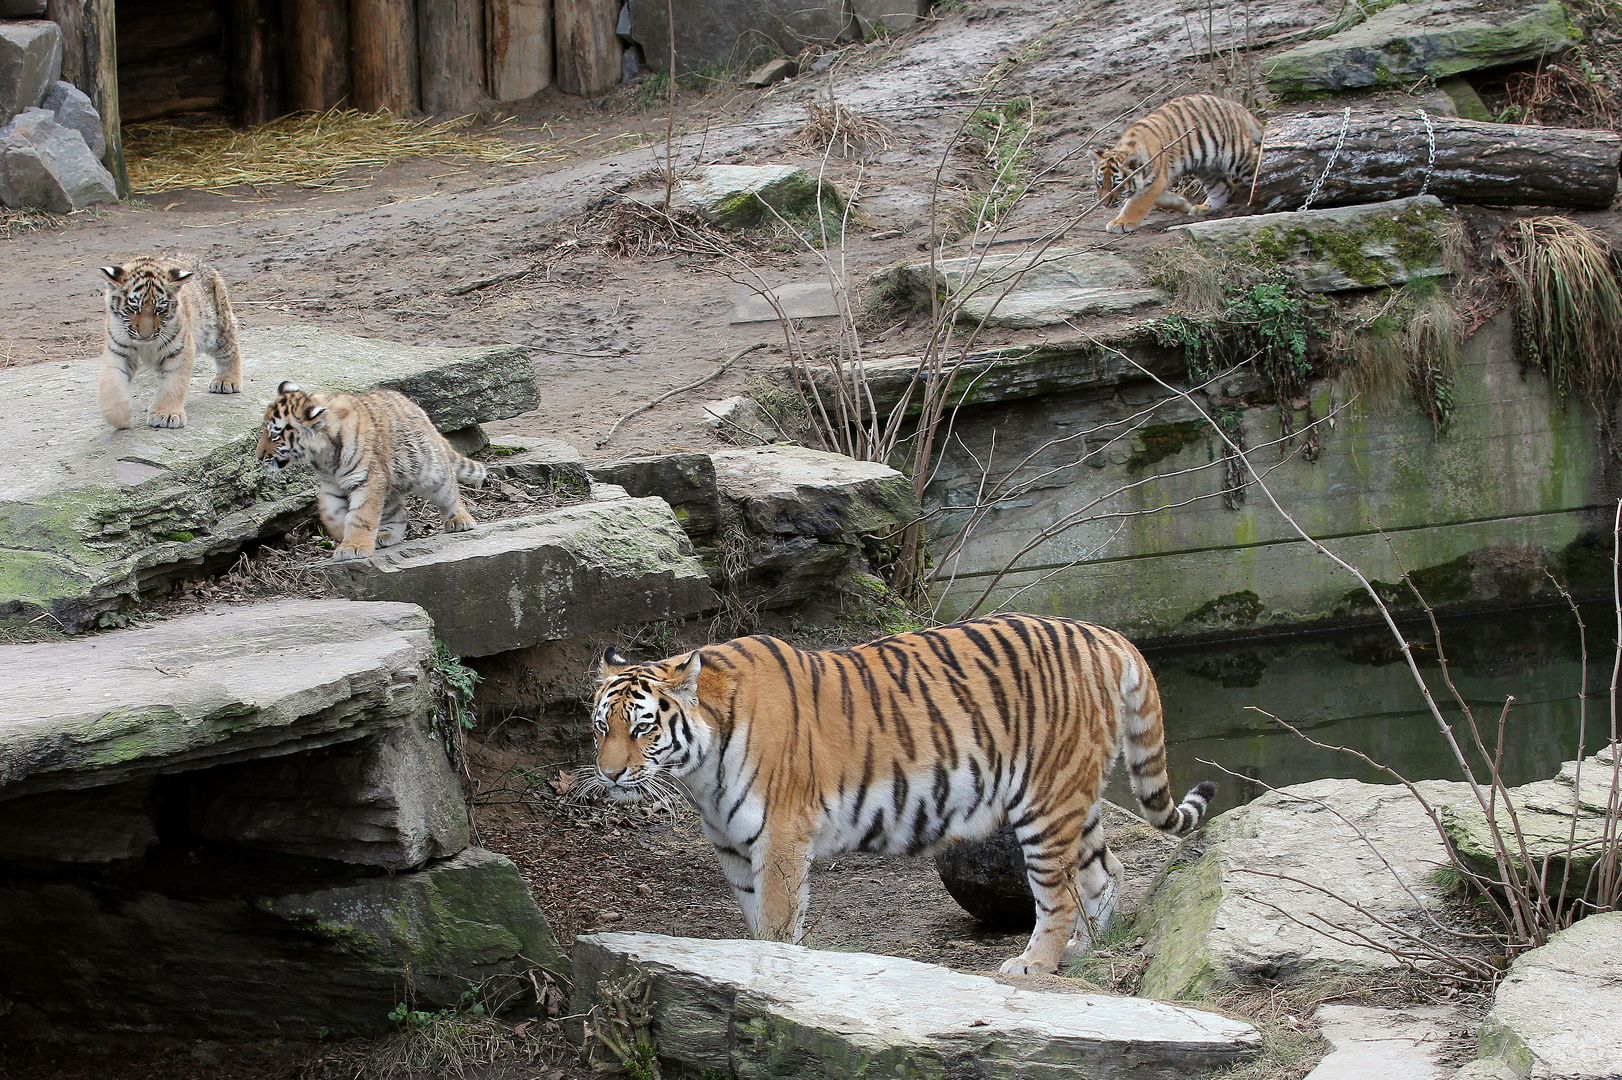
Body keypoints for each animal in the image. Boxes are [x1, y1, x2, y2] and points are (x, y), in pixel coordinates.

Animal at [590, 609, 1213, 972]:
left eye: (642, 728)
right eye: (602, 727)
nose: (610, 774)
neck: (700, 772)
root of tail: (1105, 634)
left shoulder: (781, 838)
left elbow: (774, 923)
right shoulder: (732, 847)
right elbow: (751, 920)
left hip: (1047, 801)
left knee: (1057, 893)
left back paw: (1033, 965)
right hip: (1076, 798)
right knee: (1106, 870)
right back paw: (1085, 950)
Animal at [1089, 94, 1265, 233]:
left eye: (1116, 186)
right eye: (1100, 183)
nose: (1105, 203)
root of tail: (1236, 106)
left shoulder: (1156, 180)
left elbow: (1135, 204)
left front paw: (1121, 223)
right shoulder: (1153, 182)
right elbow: (1160, 199)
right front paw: (1183, 205)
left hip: (1238, 154)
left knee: (1257, 169)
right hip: (1206, 167)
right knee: (1224, 186)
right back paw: (1204, 208)